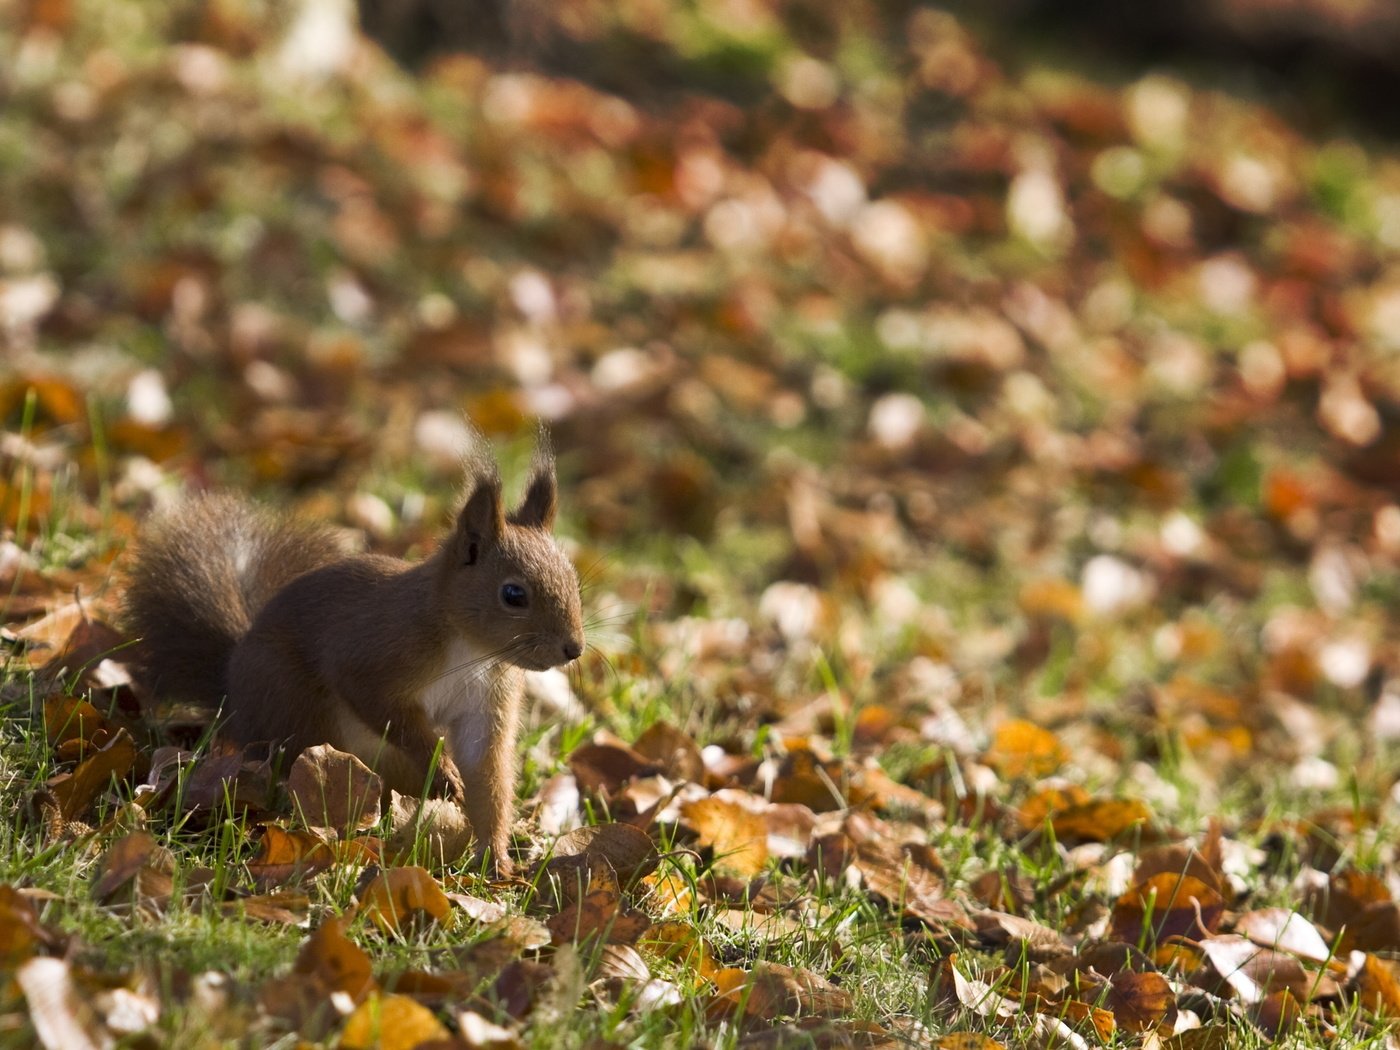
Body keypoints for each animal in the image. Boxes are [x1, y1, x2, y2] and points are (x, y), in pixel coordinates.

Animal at [117, 428, 582, 873]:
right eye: (513, 594)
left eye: (573, 578)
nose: (573, 648)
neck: (471, 651)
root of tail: (234, 693)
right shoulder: (375, 653)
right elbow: (378, 703)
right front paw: (443, 773)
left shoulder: (487, 701)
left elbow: (486, 770)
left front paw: (497, 857)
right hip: (296, 708)